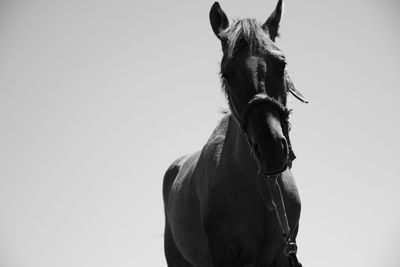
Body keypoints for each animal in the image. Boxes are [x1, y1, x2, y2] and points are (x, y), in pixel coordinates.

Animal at [162, 1, 310, 266]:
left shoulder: (282, 255)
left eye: (281, 63)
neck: (261, 188)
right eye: (226, 73)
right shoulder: (224, 254)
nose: (271, 149)